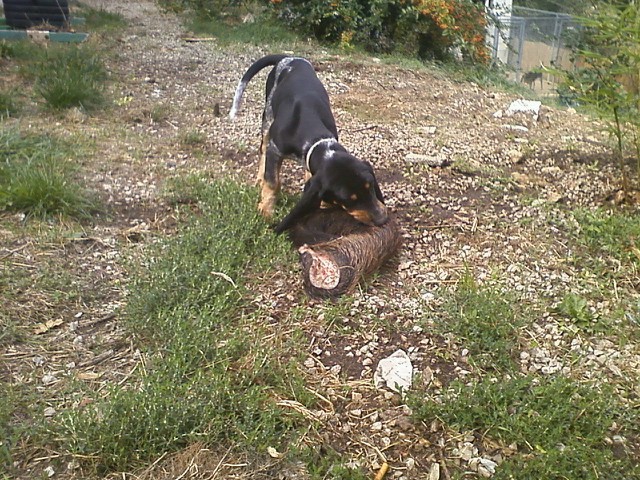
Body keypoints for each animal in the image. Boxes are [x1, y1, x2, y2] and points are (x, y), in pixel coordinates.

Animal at [230, 54, 390, 234]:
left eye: (371, 187)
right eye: (349, 200)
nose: (382, 219)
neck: (312, 133)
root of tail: (288, 56)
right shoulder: (275, 149)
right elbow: (272, 182)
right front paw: (266, 210)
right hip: (267, 117)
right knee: (263, 148)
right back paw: (260, 178)